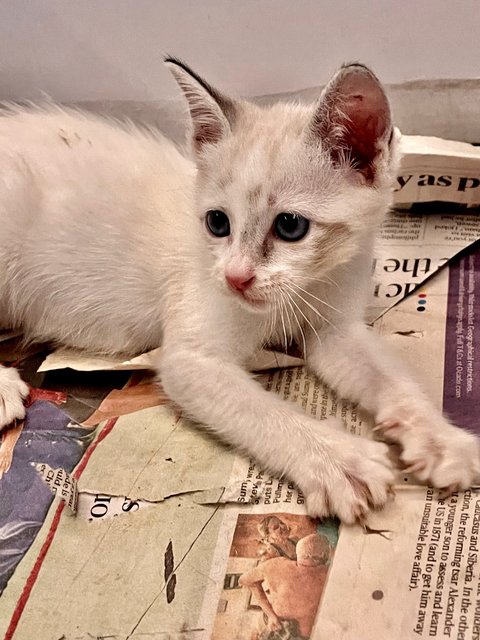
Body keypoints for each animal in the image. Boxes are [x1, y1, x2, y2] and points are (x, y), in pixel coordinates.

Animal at [0, 58, 478, 524]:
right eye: (217, 222)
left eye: (290, 226)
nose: (235, 278)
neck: (301, 291)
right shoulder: (190, 360)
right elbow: (260, 411)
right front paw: (339, 461)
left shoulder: (335, 327)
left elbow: (390, 376)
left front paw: (441, 439)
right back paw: (5, 388)